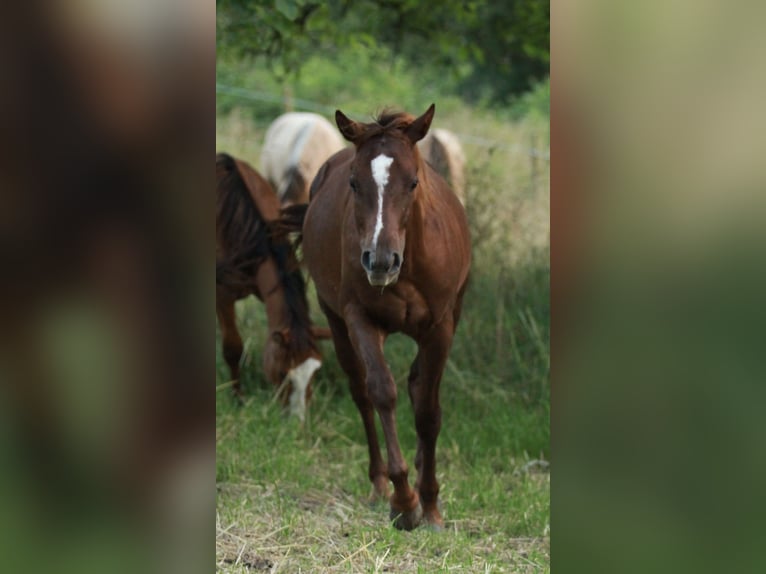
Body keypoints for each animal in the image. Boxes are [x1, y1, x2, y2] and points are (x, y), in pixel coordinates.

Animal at [214, 153, 328, 418]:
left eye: (314, 372)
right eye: (283, 373)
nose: (297, 420)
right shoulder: (221, 294)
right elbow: (232, 347)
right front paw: (238, 397)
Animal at [296, 104, 472, 532]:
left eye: (412, 182)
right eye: (354, 183)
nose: (379, 261)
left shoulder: (440, 327)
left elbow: (427, 409)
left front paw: (431, 503)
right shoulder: (359, 319)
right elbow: (381, 392)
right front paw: (404, 501)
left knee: (419, 385)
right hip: (335, 320)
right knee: (361, 391)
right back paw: (378, 483)